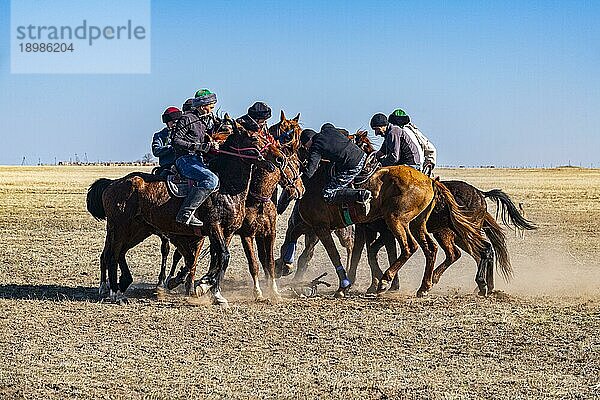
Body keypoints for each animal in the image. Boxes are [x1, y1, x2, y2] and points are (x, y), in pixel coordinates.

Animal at [86, 130, 288, 304]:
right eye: (254, 138)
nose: (280, 158)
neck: (225, 188)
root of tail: (112, 184)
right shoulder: (214, 227)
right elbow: (222, 256)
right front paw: (210, 290)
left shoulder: (227, 231)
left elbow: (217, 259)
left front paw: (208, 287)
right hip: (119, 228)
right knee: (112, 255)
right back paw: (114, 293)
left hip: (138, 230)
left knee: (119, 253)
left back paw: (121, 286)